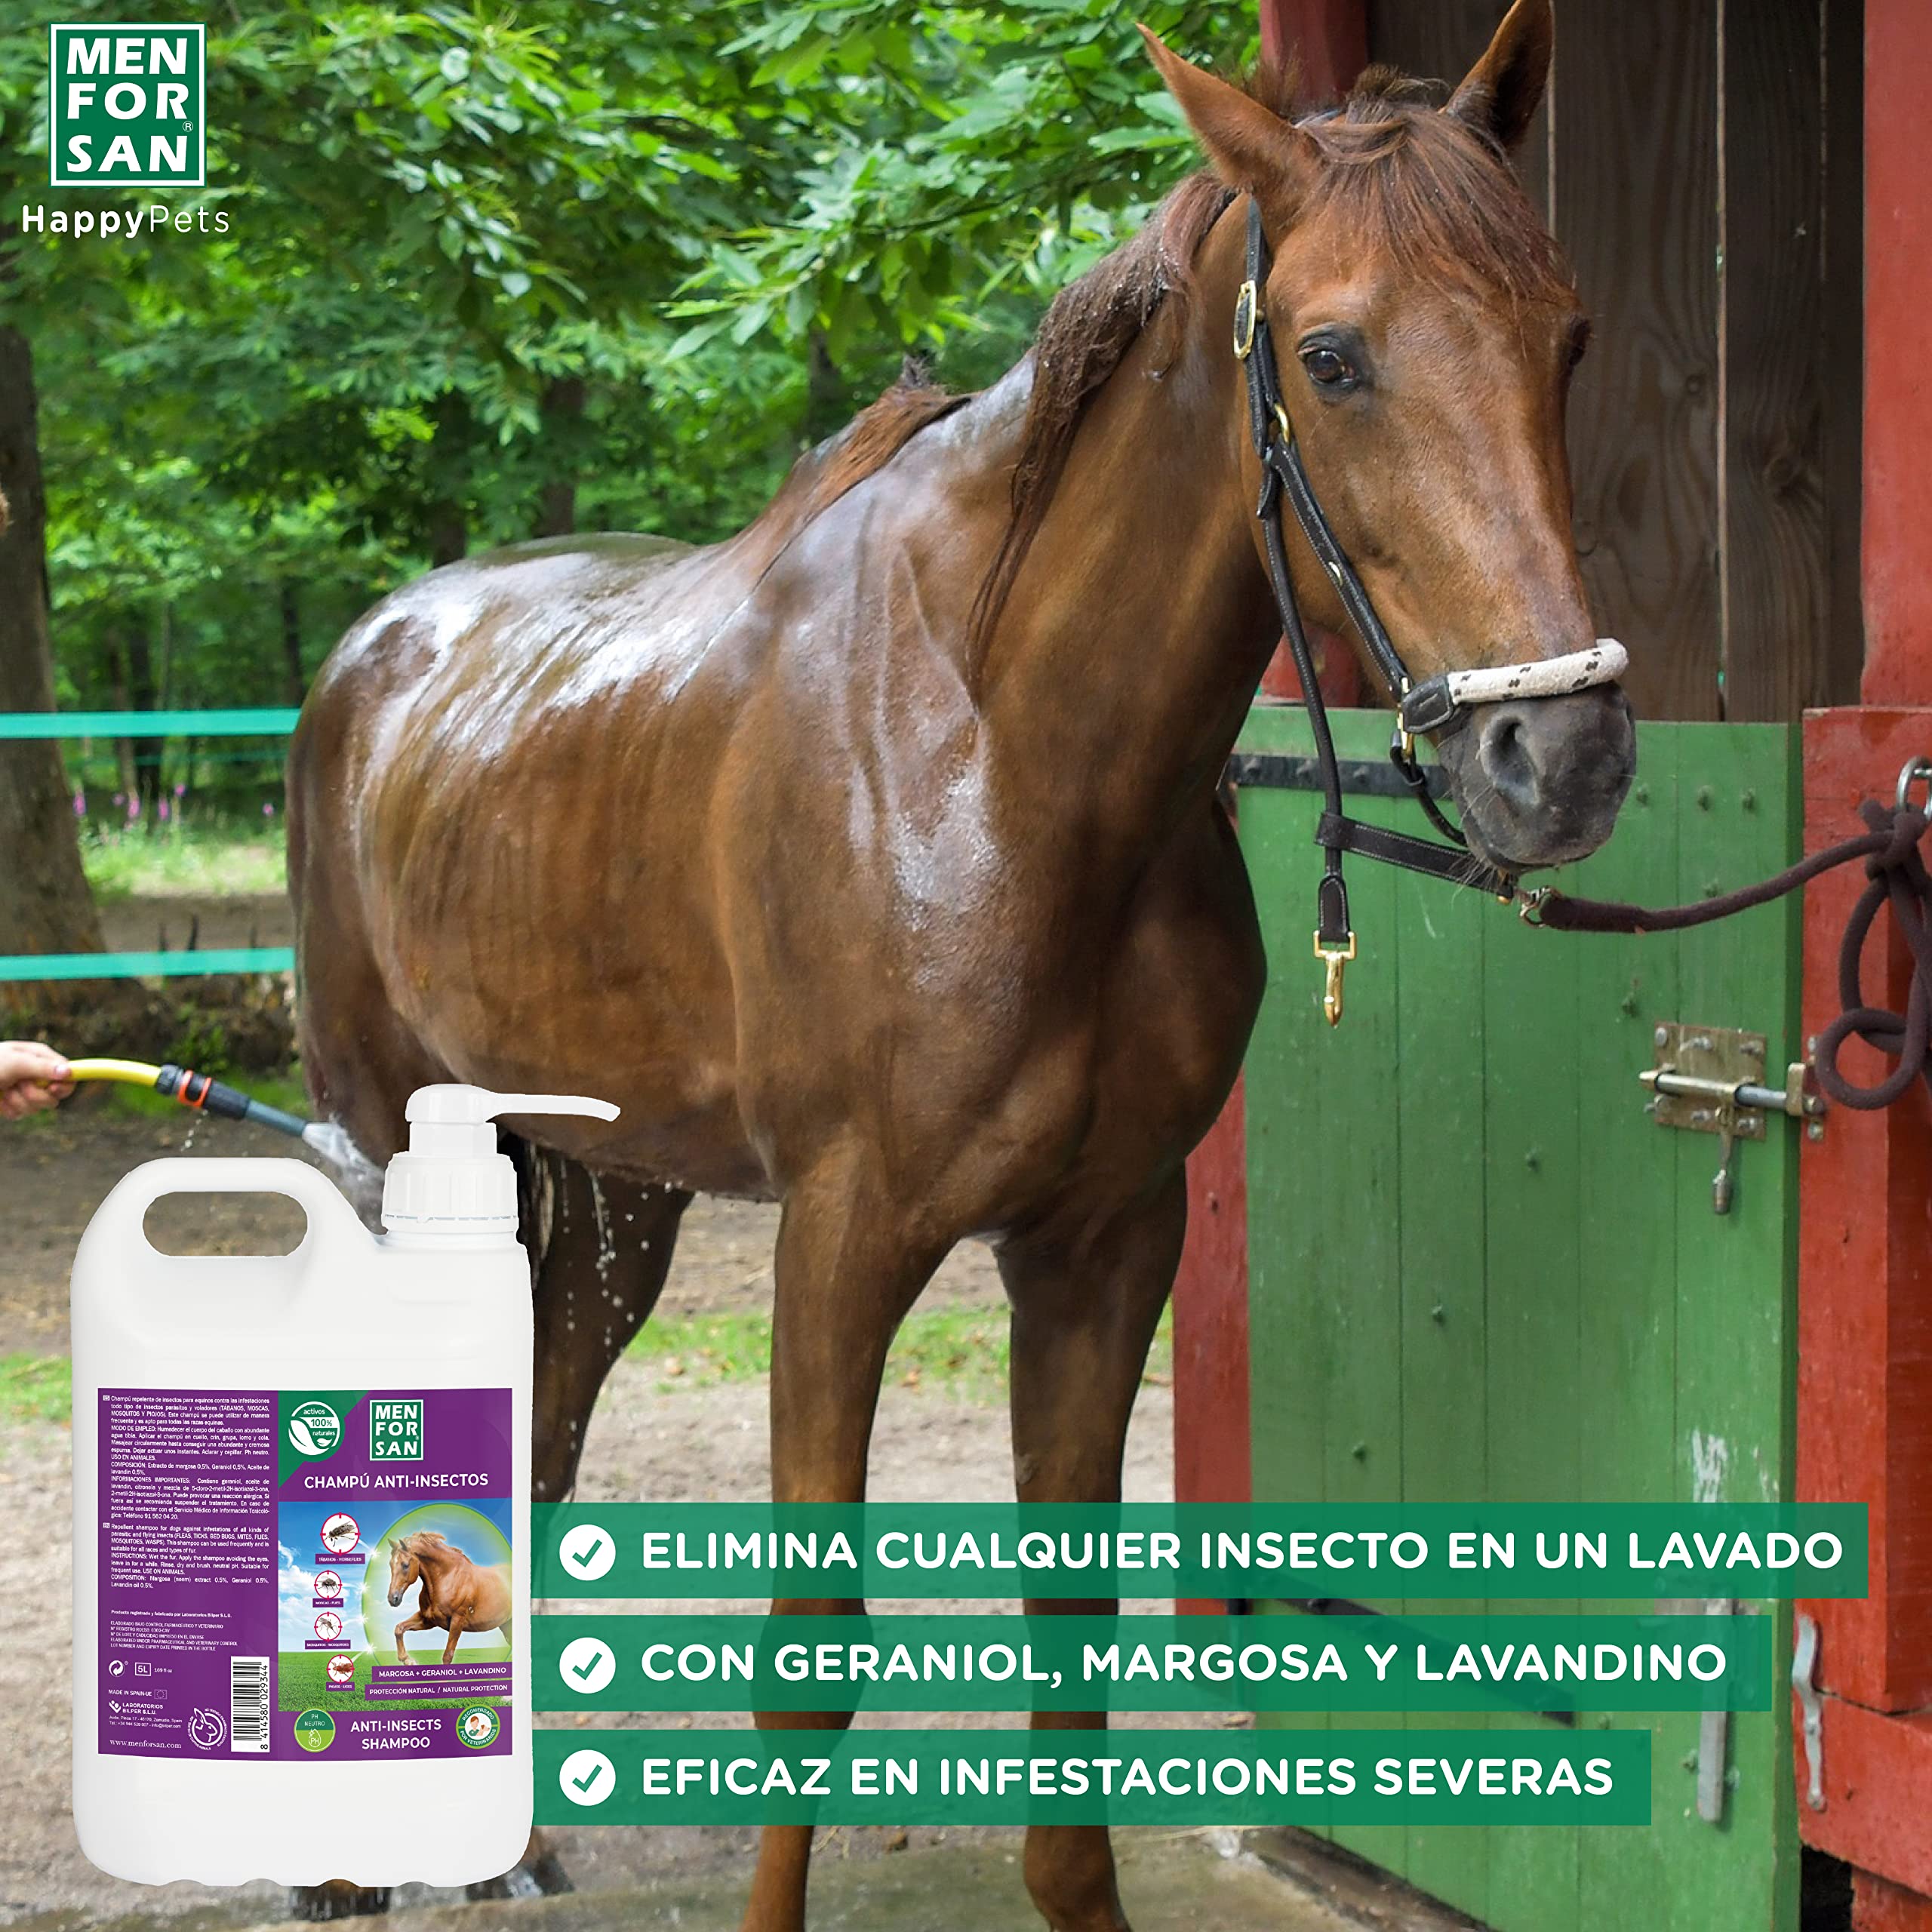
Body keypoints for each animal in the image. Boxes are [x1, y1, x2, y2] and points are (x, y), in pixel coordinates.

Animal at [384, 1531, 513, 1666]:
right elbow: (399, 1628)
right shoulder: (428, 1620)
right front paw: (408, 1660)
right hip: (506, 1625)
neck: (448, 1577)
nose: (393, 1599)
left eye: (405, 1565)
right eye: (391, 1564)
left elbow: (447, 1656)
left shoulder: (457, 1621)